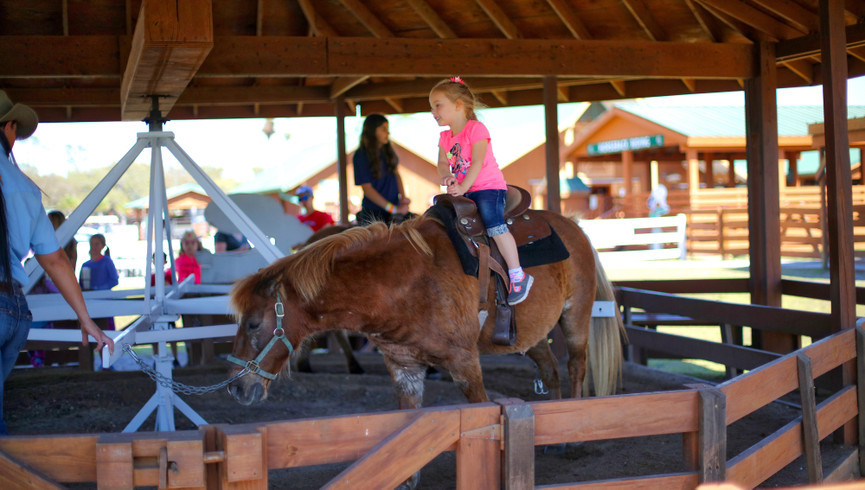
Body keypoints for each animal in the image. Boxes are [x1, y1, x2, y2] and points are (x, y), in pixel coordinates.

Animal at [226, 209, 625, 410]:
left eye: (254, 323)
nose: (237, 388)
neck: (407, 283)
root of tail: (575, 226)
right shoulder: (403, 368)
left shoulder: (465, 365)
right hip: (529, 333)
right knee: (551, 369)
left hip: (576, 316)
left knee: (575, 367)